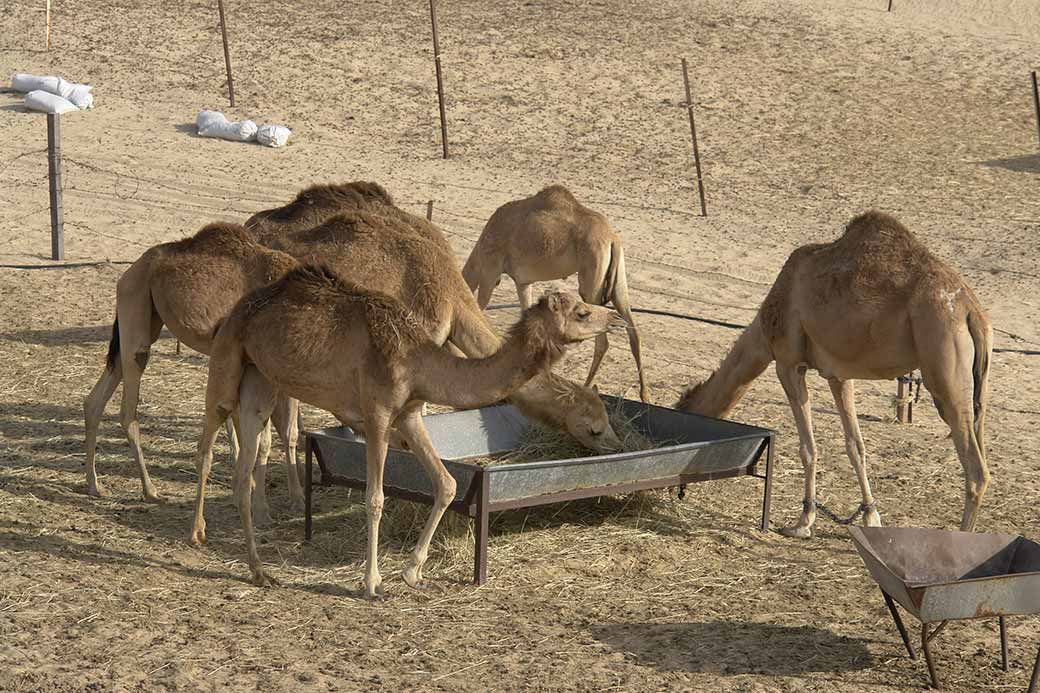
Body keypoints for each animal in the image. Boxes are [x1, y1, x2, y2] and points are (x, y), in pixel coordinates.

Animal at [82, 221, 303, 518]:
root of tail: (130, 271)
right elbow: (258, 434)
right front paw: (254, 501)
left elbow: (288, 431)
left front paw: (295, 499)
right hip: (136, 305)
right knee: (128, 406)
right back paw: (150, 490)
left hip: (144, 318)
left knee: (95, 399)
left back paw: (94, 485)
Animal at [190, 265, 611, 595]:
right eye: (582, 312)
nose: (612, 317)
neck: (418, 359)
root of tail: (235, 311)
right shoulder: (376, 412)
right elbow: (375, 498)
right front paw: (372, 582)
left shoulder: (409, 415)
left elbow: (446, 484)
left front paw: (412, 572)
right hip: (227, 361)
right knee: (207, 442)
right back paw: (198, 533)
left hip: (261, 379)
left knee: (243, 471)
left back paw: (259, 571)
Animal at [461, 185, 644, 399]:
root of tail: (612, 238)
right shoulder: (523, 282)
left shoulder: (490, 270)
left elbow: (478, 311)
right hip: (619, 281)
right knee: (633, 332)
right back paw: (644, 395)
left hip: (592, 276)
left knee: (602, 339)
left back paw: (586, 387)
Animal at [673, 210, 990, 532]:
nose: (678, 489)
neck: (763, 331)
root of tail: (969, 310)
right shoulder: (839, 374)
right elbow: (855, 446)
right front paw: (870, 516)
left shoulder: (787, 363)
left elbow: (807, 447)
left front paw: (803, 521)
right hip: (977, 384)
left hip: (942, 362)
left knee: (976, 471)